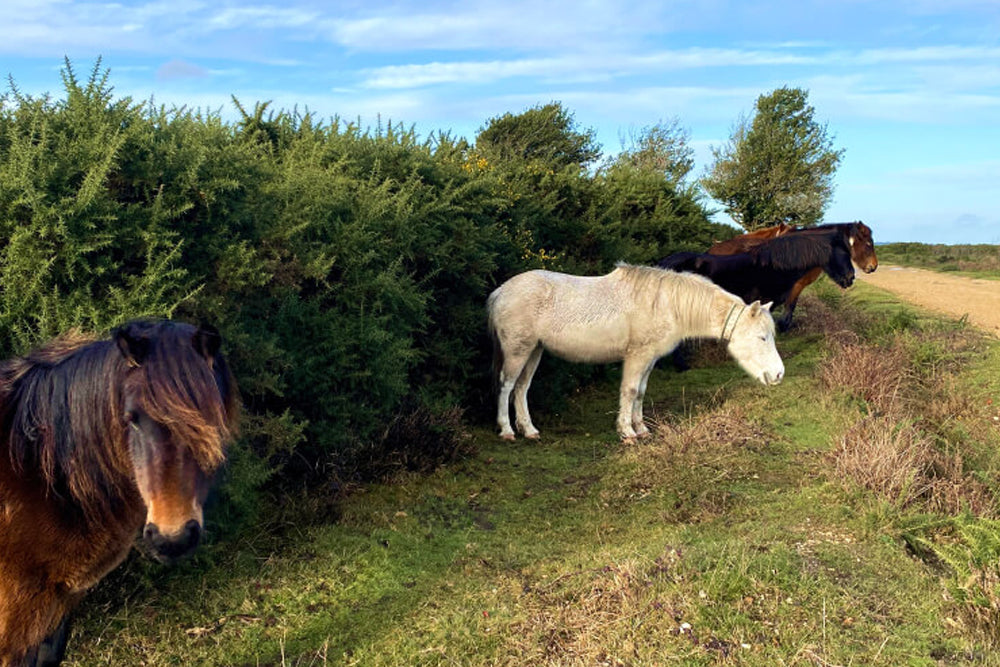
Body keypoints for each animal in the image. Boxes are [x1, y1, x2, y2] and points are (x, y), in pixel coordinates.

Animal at [487, 264, 784, 442]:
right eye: (762, 337)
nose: (779, 374)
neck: (667, 304)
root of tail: (501, 291)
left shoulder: (648, 359)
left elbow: (640, 392)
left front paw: (641, 429)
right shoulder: (637, 357)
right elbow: (629, 391)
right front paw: (627, 432)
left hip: (533, 350)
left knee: (521, 388)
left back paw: (529, 430)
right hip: (518, 350)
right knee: (506, 385)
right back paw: (507, 430)